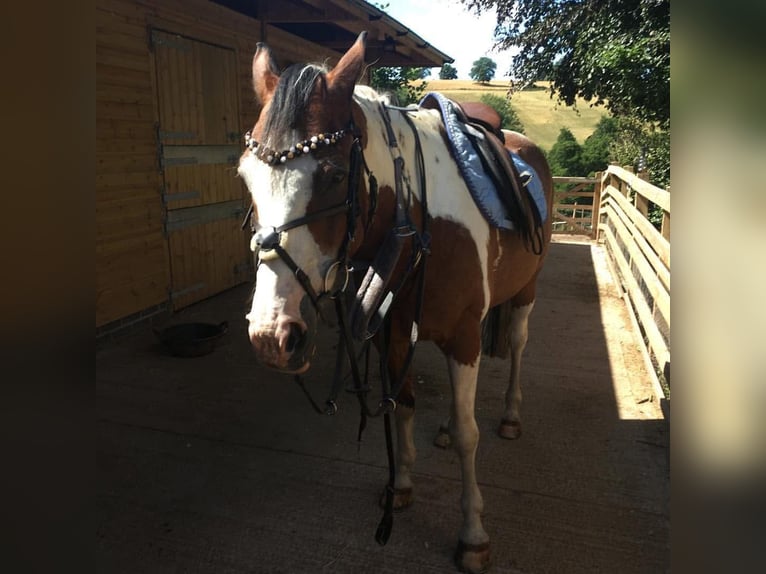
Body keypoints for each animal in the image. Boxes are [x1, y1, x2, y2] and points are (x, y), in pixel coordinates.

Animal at [238, 32, 552, 574]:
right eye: (245, 177)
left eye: (332, 174)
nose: (271, 336)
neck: (416, 220)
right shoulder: (391, 332)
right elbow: (402, 405)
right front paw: (400, 485)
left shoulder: (463, 338)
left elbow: (470, 435)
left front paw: (473, 533)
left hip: (524, 294)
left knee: (516, 343)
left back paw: (511, 415)